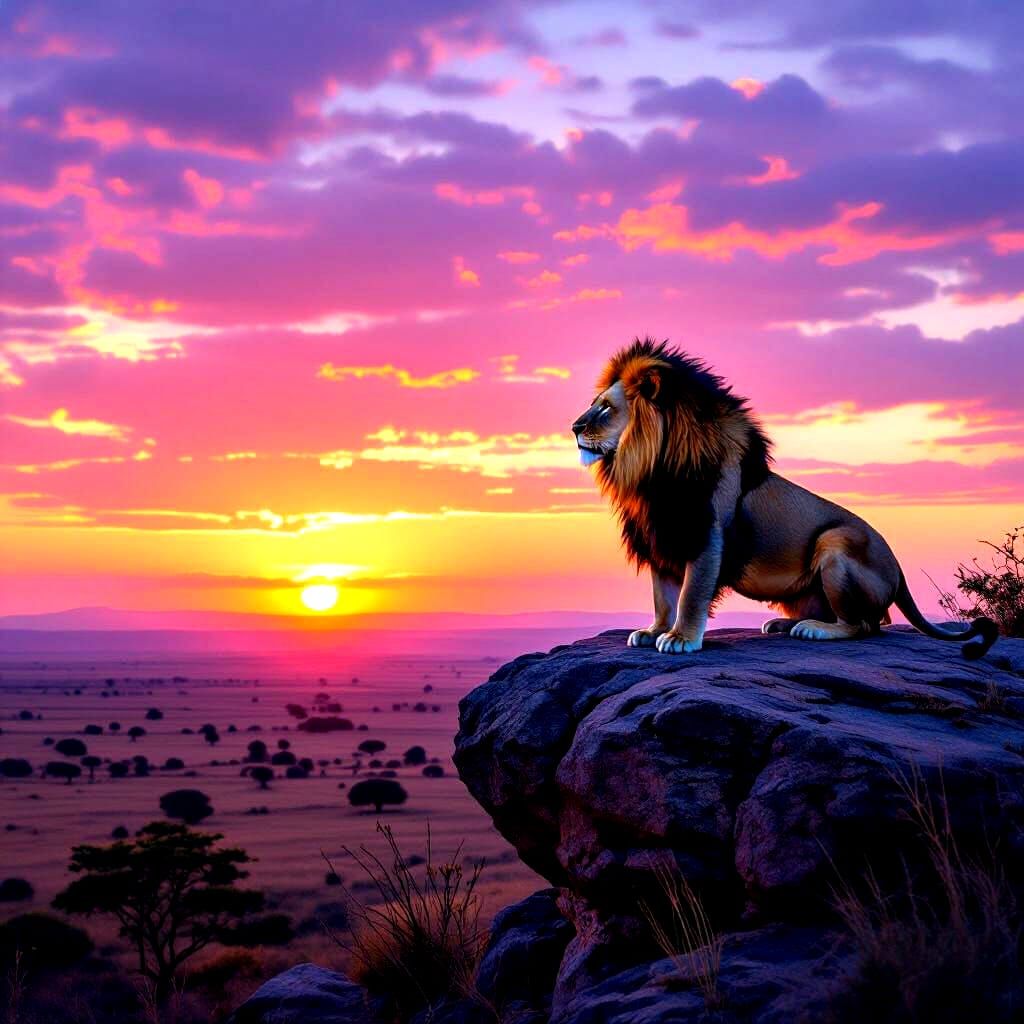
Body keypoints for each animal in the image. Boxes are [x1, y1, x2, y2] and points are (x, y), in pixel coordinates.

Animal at [572, 337, 998, 659]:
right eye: (593, 403)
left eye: (606, 408)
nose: (574, 427)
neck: (649, 474)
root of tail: (899, 569)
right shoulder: (660, 537)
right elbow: (662, 595)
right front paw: (653, 630)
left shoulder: (706, 536)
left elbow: (691, 594)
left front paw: (680, 638)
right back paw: (784, 623)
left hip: (835, 542)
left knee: (868, 624)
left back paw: (814, 630)